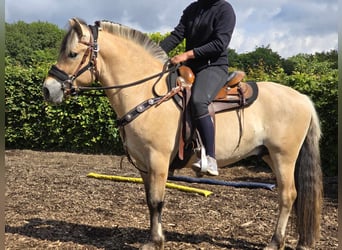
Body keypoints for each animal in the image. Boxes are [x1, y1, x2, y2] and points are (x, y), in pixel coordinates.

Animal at [43, 17, 324, 250]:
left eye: (73, 53)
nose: (48, 89)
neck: (147, 94)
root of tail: (302, 98)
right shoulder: (144, 165)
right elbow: (149, 201)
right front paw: (155, 237)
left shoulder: (158, 161)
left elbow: (157, 201)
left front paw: (154, 242)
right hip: (269, 155)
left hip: (283, 156)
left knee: (288, 196)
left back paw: (275, 242)